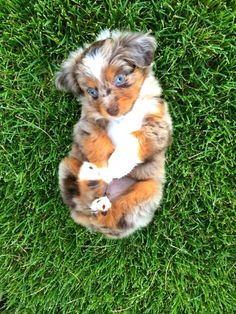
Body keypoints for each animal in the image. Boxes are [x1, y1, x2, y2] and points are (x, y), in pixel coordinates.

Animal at [56, 30, 172, 239]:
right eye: (92, 91)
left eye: (119, 79)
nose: (112, 110)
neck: (123, 117)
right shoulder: (86, 123)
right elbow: (97, 140)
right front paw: (105, 169)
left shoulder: (158, 124)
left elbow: (135, 139)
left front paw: (117, 165)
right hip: (67, 164)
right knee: (83, 203)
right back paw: (92, 178)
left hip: (149, 191)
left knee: (111, 218)